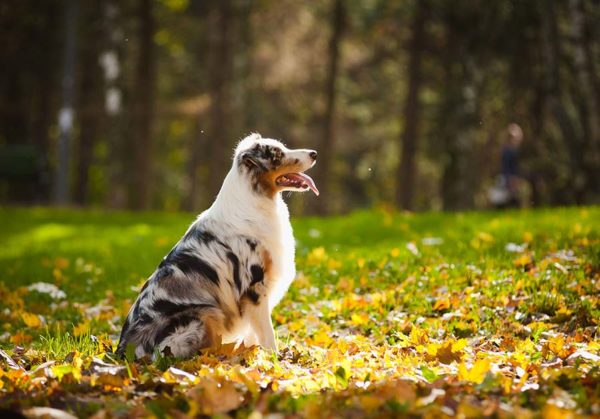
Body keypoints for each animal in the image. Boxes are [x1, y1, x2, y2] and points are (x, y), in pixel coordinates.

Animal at [113, 134, 318, 358]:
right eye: (278, 155)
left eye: (283, 148)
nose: (314, 153)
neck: (255, 199)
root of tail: (122, 350)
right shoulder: (254, 288)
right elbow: (267, 333)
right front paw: (275, 359)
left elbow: (255, 334)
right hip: (204, 314)